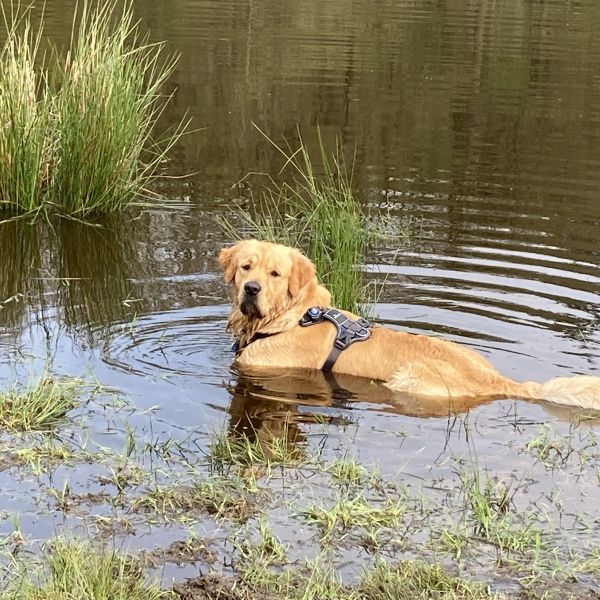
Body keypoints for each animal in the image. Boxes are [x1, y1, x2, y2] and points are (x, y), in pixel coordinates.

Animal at [218, 241, 600, 410]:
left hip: (410, 379)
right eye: (246, 267)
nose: (251, 289)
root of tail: (500, 381)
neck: (293, 317)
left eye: (275, 274)